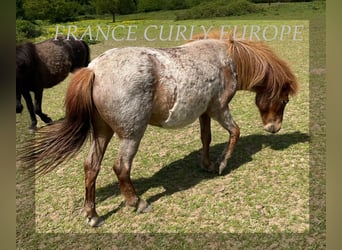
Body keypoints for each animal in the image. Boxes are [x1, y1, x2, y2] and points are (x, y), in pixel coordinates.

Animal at [18, 37, 298, 227]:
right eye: (284, 100)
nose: (274, 128)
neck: (225, 59)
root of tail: (94, 69)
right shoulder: (219, 108)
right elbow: (235, 132)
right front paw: (221, 164)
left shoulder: (205, 111)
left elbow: (206, 138)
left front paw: (207, 164)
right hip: (131, 135)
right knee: (121, 167)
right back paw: (137, 202)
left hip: (102, 133)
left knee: (91, 167)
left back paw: (93, 214)